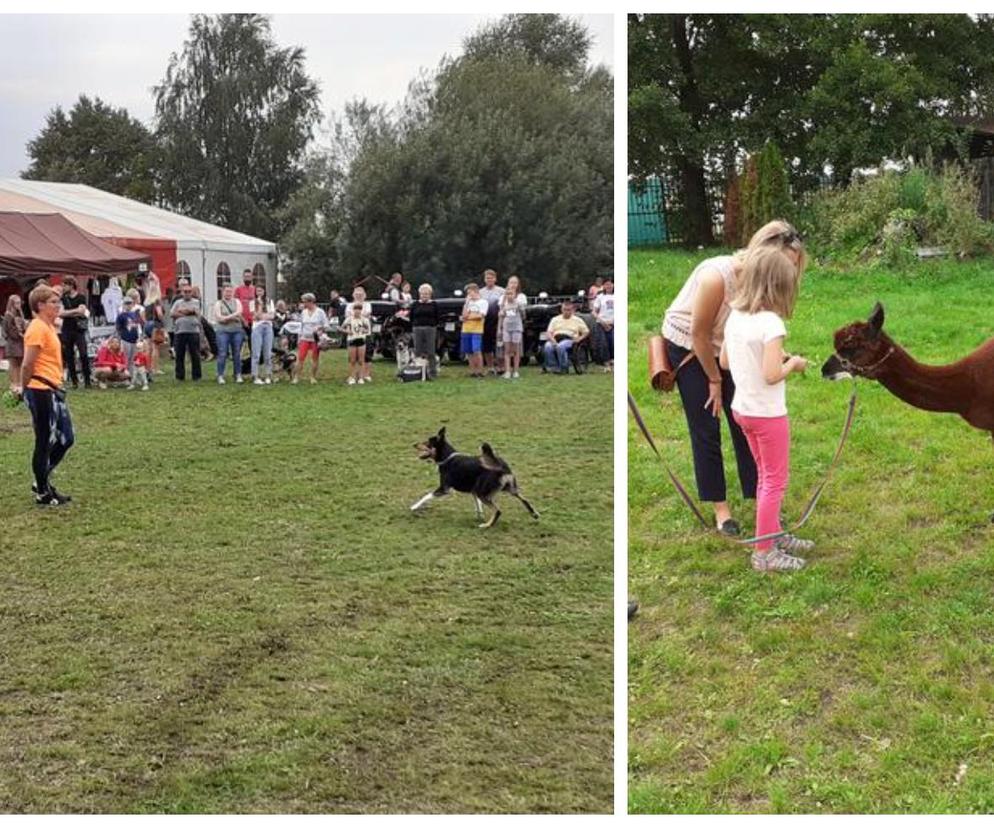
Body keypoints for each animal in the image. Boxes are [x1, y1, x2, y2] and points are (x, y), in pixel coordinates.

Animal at [408, 426, 540, 532]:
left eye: (427, 443)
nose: (414, 444)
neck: (447, 458)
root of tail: (502, 467)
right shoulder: (474, 489)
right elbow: (477, 503)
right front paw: (479, 514)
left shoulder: (444, 488)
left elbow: (426, 496)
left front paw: (414, 506)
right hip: (509, 488)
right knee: (524, 500)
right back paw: (534, 514)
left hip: (484, 493)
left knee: (498, 511)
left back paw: (486, 525)